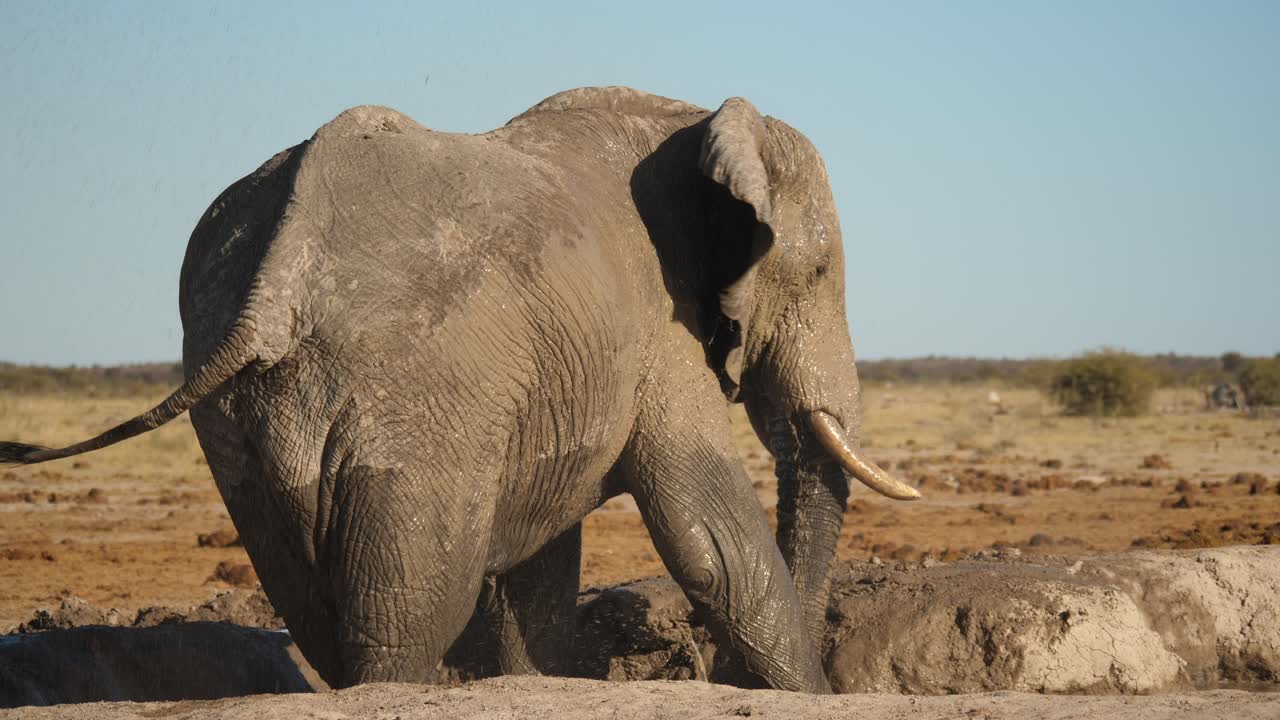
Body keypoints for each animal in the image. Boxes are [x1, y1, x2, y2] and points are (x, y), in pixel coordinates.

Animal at [1, 86, 918, 693]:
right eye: (821, 273)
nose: (711, 672)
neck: (698, 121)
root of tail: (276, 280)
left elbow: (542, 570)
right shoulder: (659, 327)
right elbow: (712, 539)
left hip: (248, 421)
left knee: (318, 607)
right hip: (418, 400)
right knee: (409, 611)